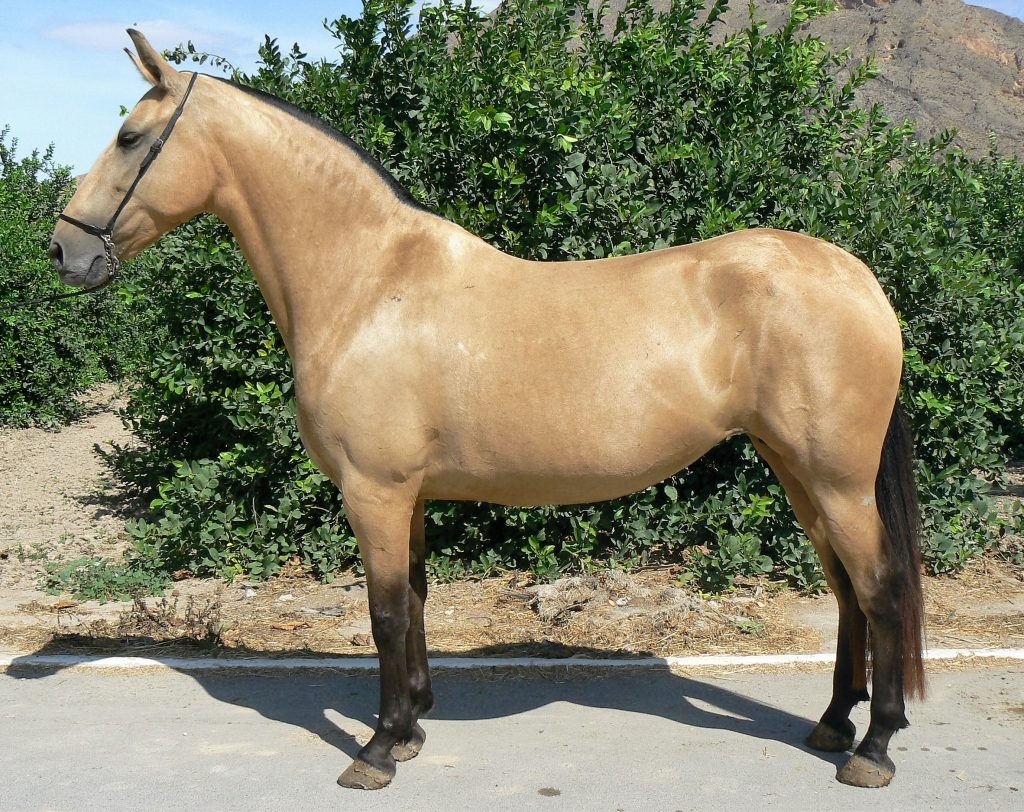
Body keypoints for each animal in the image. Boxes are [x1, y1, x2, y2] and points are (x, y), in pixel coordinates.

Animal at [49, 29, 925, 791]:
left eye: (129, 137)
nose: (64, 251)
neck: (369, 283)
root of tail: (857, 277)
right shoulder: (405, 497)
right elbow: (416, 601)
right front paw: (411, 726)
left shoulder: (374, 492)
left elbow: (385, 614)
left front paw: (376, 750)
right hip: (801, 475)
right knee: (846, 590)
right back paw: (832, 724)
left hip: (836, 481)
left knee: (880, 589)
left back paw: (874, 749)